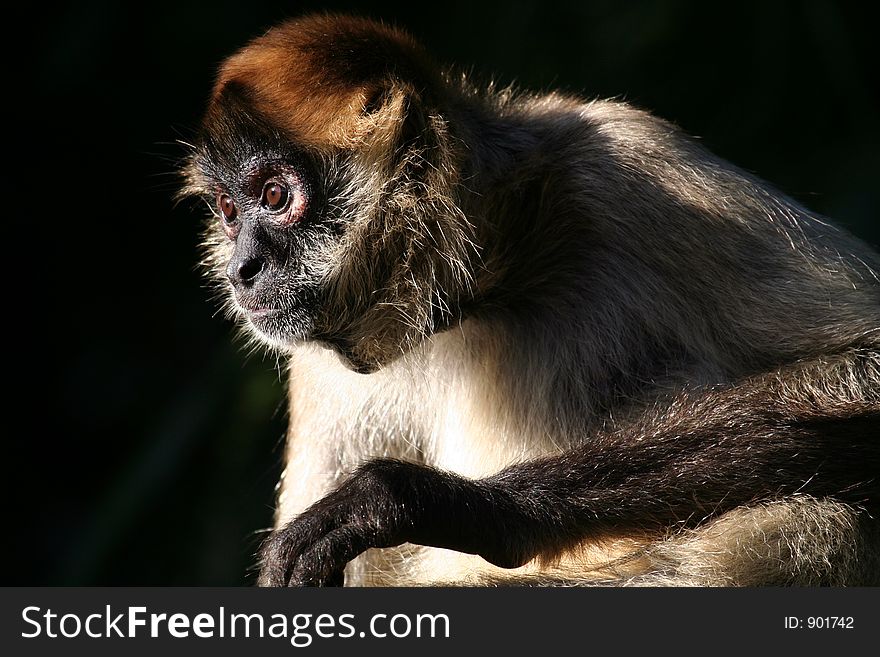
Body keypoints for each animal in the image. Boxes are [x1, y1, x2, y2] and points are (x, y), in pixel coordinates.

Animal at [180, 14, 880, 584]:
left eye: (275, 196)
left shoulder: (622, 156)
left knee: (817, 525)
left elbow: (868, 366)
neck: (486, 288)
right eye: (228, 211)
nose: (242, 269)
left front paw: (450, 504)